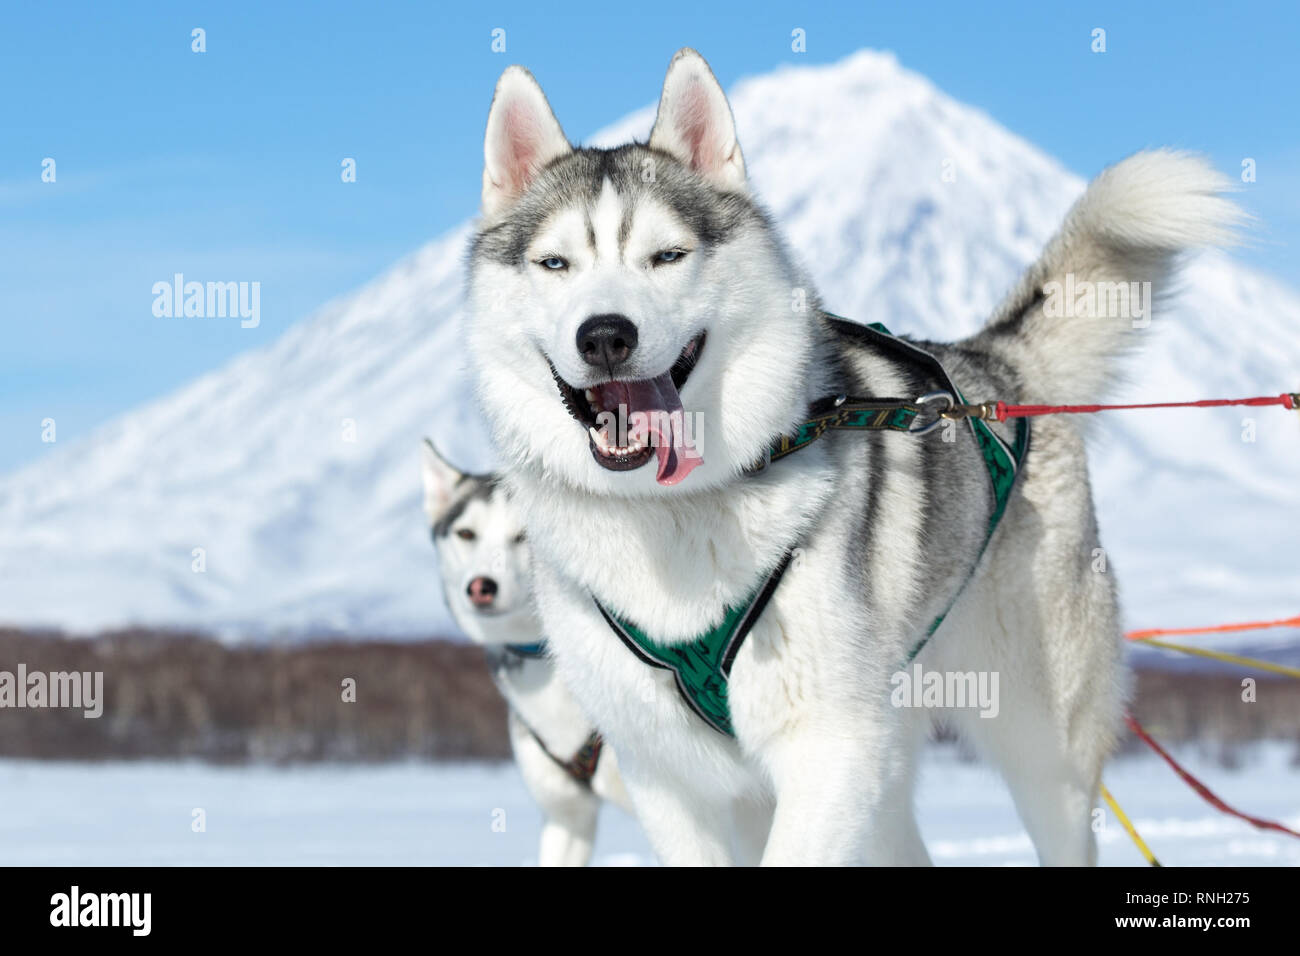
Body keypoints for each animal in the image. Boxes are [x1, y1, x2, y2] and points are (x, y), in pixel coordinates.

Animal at [462, 46, 1242, 868]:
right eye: (554, 264)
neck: (671, 513)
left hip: (1036, 747)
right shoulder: (668, 778)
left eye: (666, 256)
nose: (606, 334)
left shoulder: (827, 749)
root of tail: (995, 366)